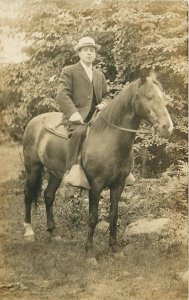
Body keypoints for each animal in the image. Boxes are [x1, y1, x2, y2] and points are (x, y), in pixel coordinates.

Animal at [22, 72, 173, 253]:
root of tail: (34, 121)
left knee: (48, 195)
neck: (108, 139)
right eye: (149, 97)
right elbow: (93, 217)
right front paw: (89, 250)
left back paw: (53, 232)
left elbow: (114, 215)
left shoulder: (118, 185)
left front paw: (114, 248)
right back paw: (29, 232)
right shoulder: (95, 185)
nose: (167, 127)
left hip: (56, 173)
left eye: (163, 97)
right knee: (28, 195)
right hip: (33, 168)